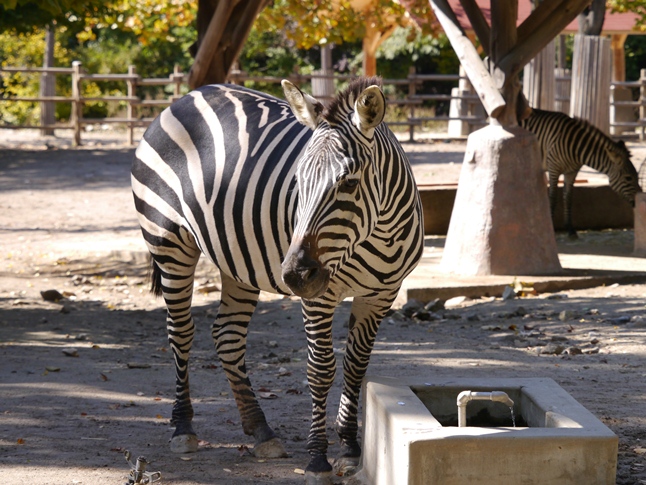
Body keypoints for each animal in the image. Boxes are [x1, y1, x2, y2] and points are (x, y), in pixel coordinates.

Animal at [131, 77, 426, 482]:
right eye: (298, 181)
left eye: (348, 183)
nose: (295, 275)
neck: (378, 236)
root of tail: (190, 95)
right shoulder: (319, 297)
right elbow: (320, 370)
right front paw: (317, 459)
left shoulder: (381, 295)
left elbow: (356, 366)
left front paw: (350, 448)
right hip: (168, 240)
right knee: (180, 332)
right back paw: (182, 427)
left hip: (237, 259)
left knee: (228, 335)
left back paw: (261, 430)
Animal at [520, 108, 644, 239]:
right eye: (628, 178)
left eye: (636, 176)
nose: (639, 200)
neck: (575, 148)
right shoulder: (553, 168)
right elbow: (553, 197)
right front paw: (551, 227)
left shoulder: (571, 172)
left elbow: (568, 198)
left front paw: (570, 229)